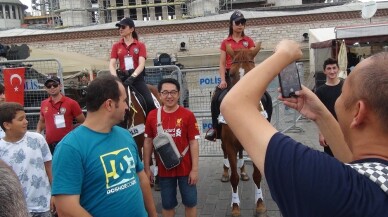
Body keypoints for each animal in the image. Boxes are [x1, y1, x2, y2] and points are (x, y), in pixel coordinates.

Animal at [221, 42, 272, 217]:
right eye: (230, 74)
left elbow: (257, 175)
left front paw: (260, 204)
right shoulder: (229, 144)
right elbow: (234, 178)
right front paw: (235, 206)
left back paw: (243, 171)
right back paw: (225, 172)